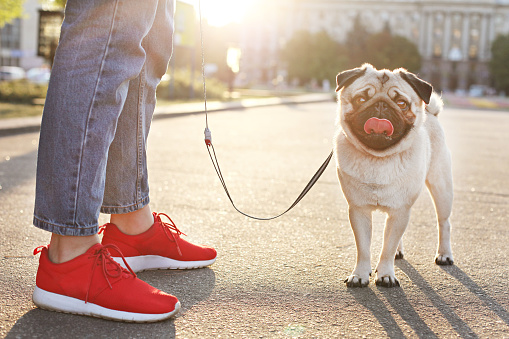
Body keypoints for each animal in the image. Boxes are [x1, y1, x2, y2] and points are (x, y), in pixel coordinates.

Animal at [334, 63, 452, 286]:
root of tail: (432, 115)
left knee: (444, 223)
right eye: (361, 99)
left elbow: (386, 248)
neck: (379, 158)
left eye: (401, 103)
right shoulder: (359, 210)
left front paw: (386, 275)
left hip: (441, 189)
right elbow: (363, 248)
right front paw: (360, 275)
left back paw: (444, 254)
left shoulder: (400, 210)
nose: (381, 106)